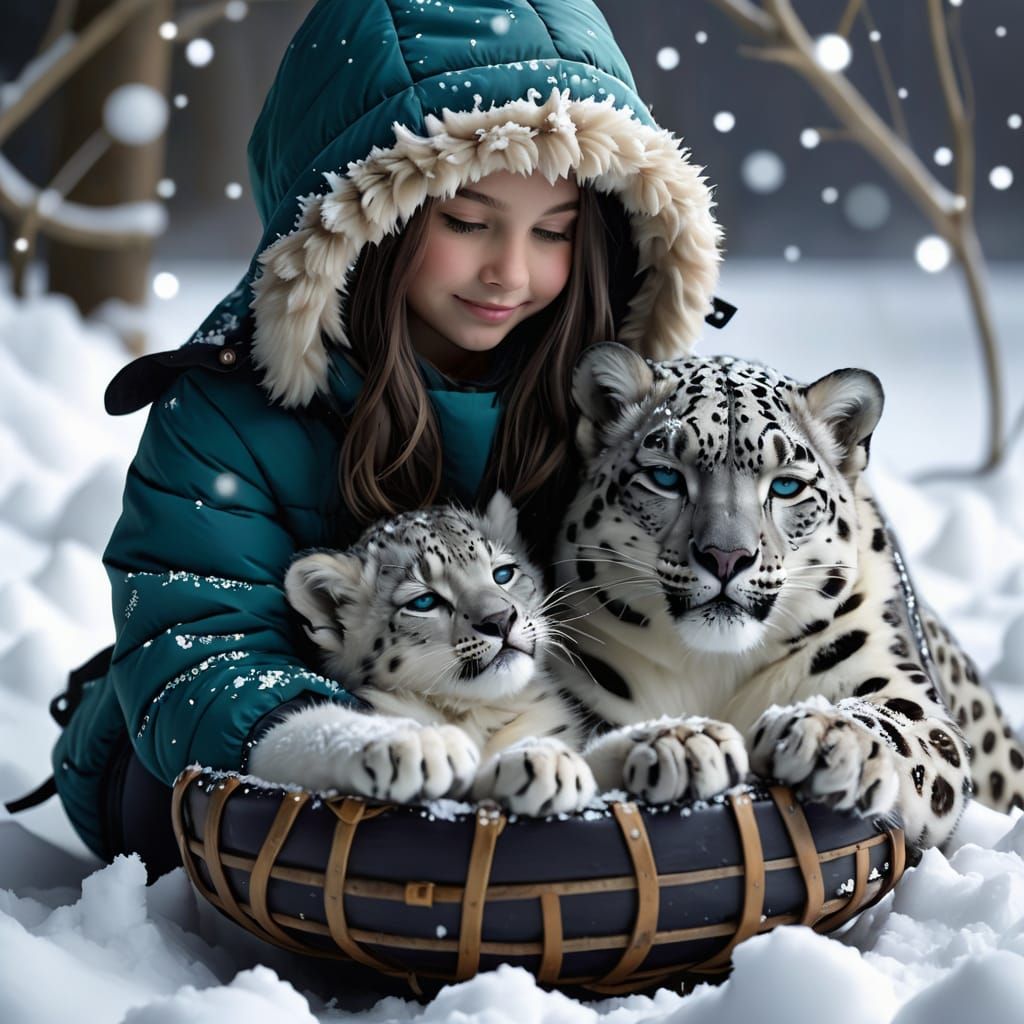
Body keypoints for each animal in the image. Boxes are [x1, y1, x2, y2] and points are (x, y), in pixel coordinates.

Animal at [248, 492, 596, 816]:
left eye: (503, 573)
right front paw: (422, 744)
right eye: (424, 602)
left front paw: (545, 759)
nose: (499, 619)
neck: (475, 714)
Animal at [552, 342, 1024, 849]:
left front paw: (828, 739)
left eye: (785, 485)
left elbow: (895, 721)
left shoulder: (894, 679)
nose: (726, 557)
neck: (714, 667)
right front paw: (679, 745)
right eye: (665, 477)